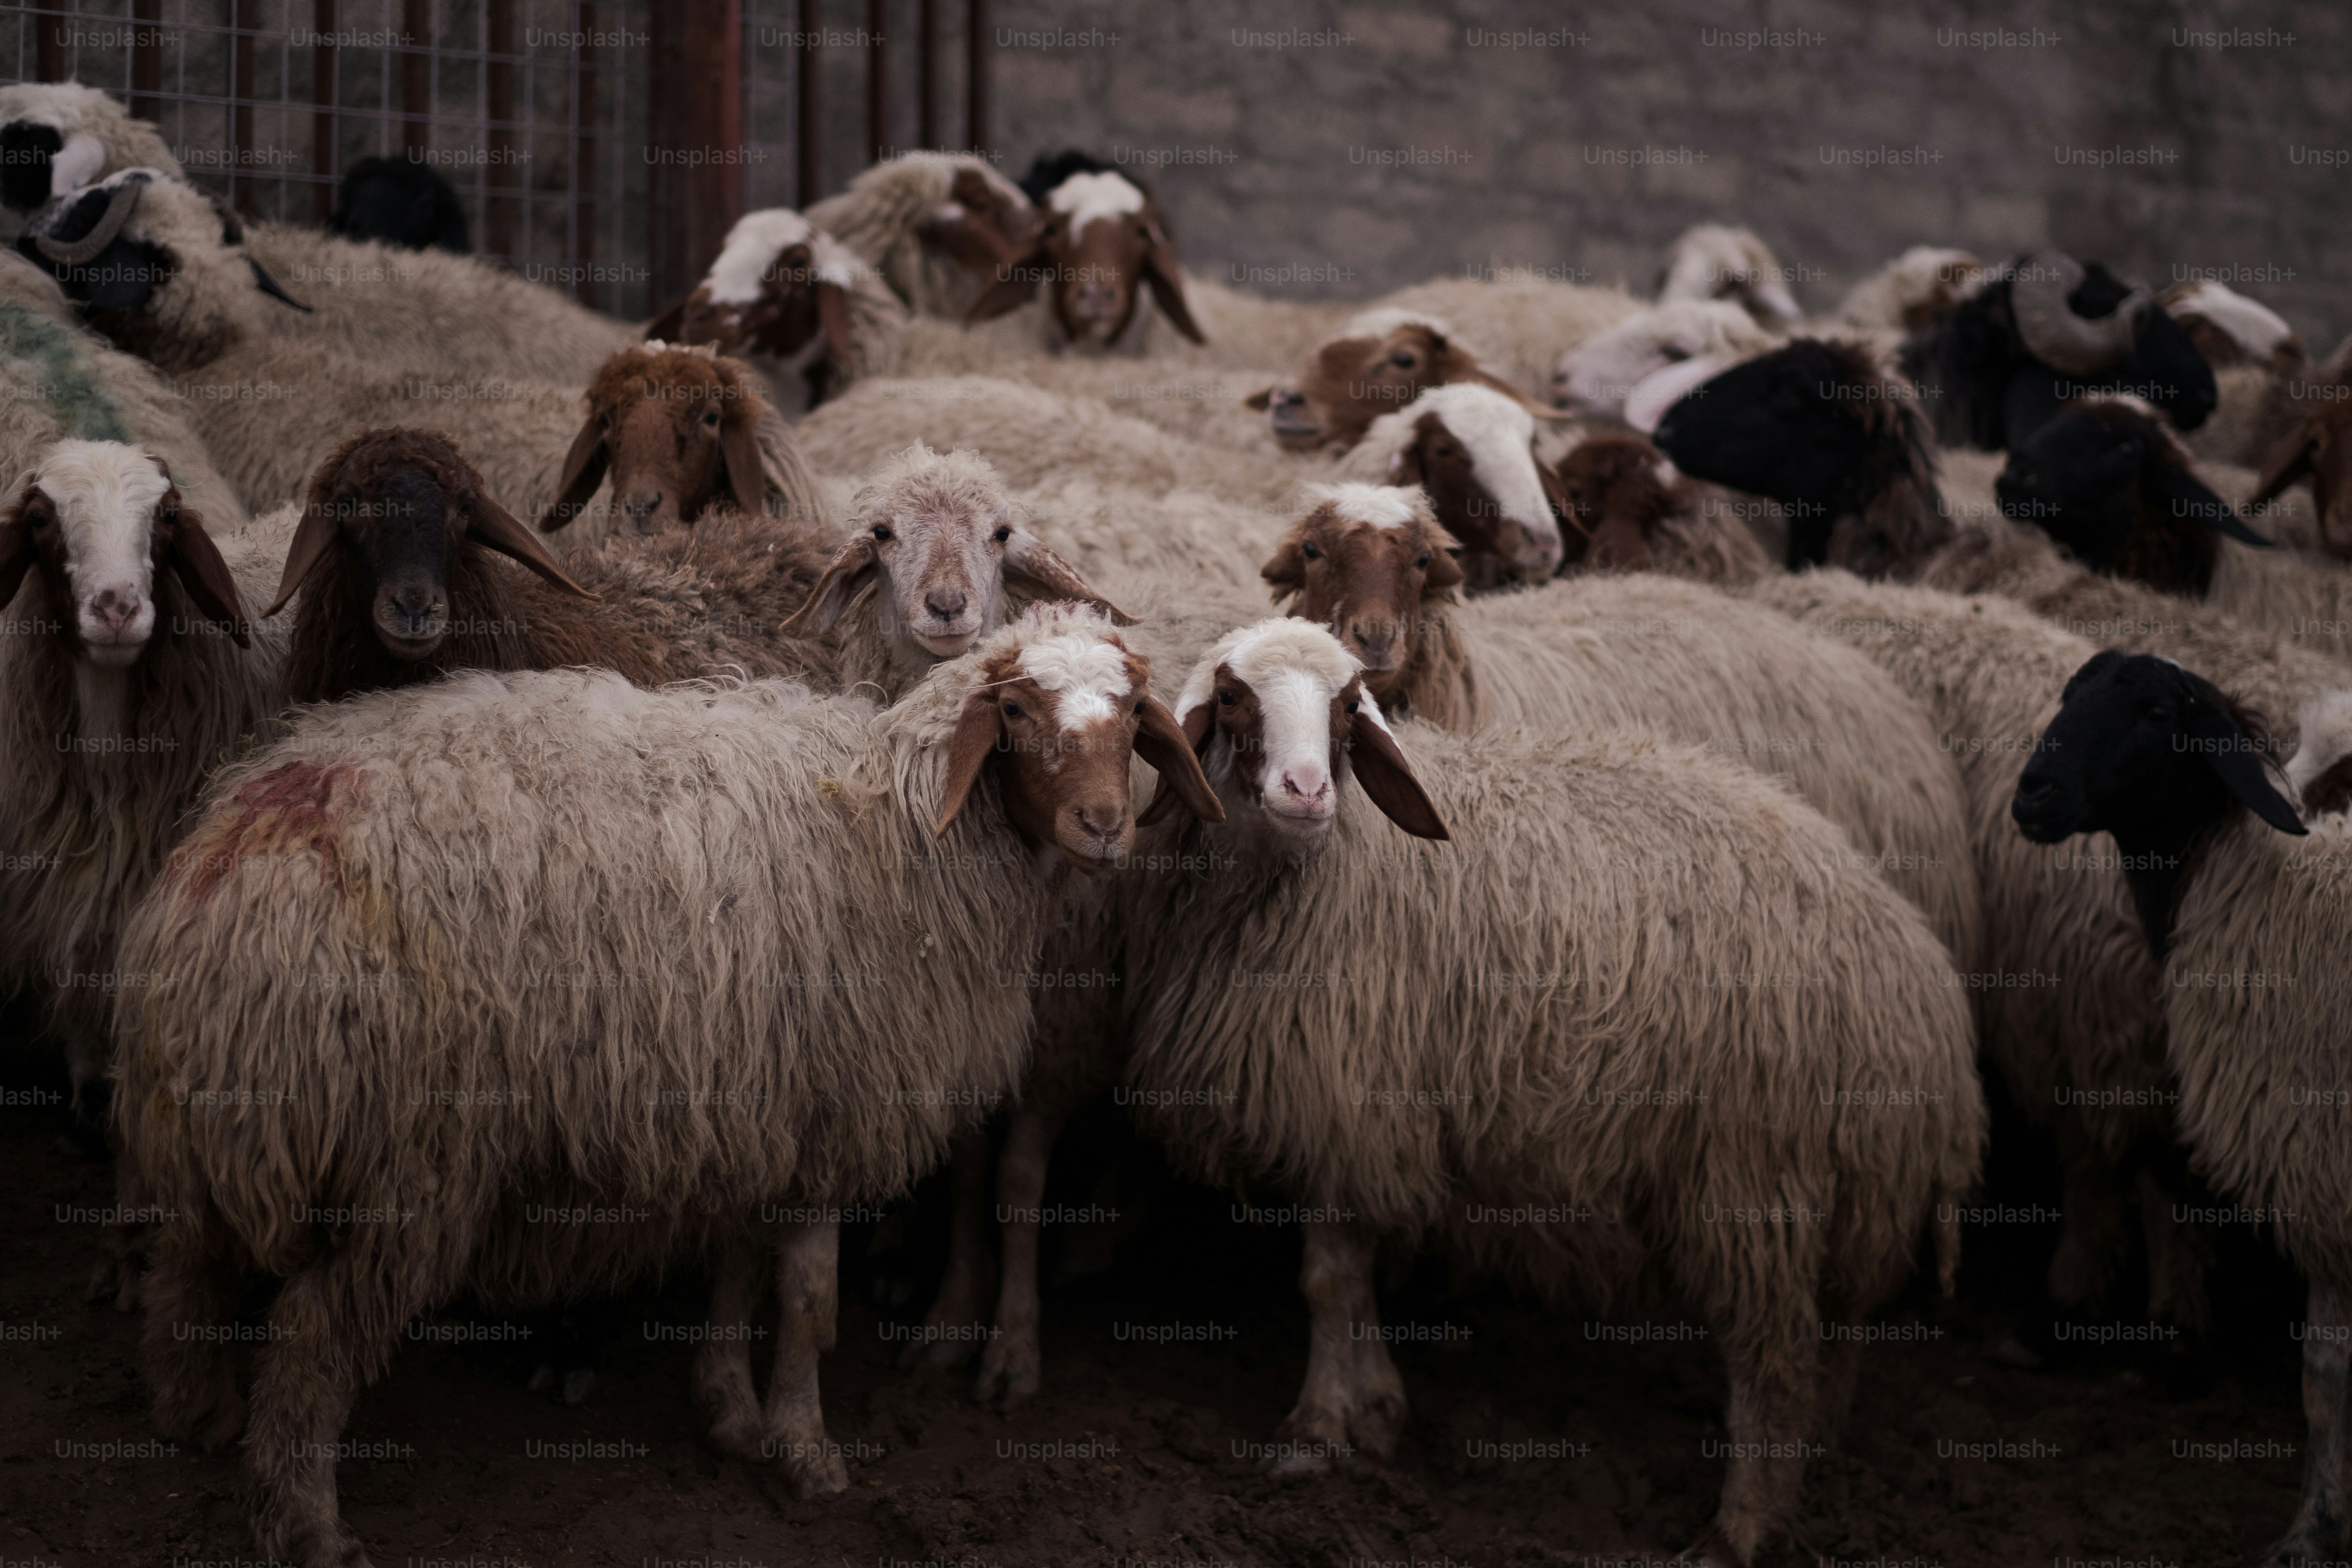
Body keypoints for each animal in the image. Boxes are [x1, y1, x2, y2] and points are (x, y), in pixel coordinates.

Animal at [116, 599, 1225, 1567]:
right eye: (1018, 711)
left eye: (1133, 712)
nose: (1105, 827)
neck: (909, 831)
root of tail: (239, 851)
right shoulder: (831, 1106)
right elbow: (810, 1301)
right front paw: (805, 1456)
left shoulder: (751, 1098)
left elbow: (734, 1267)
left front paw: (728, 1412)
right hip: (409, 1161)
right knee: (309, 1339)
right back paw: (308, 1526)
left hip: (219, 1104)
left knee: (184, 1256)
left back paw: (193, 1413)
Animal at [1112, 616, 1982, 1568]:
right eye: (1233, 697)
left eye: (1347, 707)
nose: (1307, 790)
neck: (1325, 861)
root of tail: (1916, 977)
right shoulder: (1362, 1117)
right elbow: (1352, 1278)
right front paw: (1375, 1411)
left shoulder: (1349, 1099)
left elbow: (1328, 1280)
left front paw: (1317, 1431)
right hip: (1844, 1181)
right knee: (1839, 1331)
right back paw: (1811, 1461)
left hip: (1755, 1172)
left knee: (1774, 1353)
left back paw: (1740, 1526)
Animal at [2011, 653, 2352, 1568]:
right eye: (2069, 694)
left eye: (2160, 712)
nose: (2034, 793)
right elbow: (2324, 1381)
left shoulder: (2323, 1176)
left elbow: (2326, 1378)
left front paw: (2312, 1534)